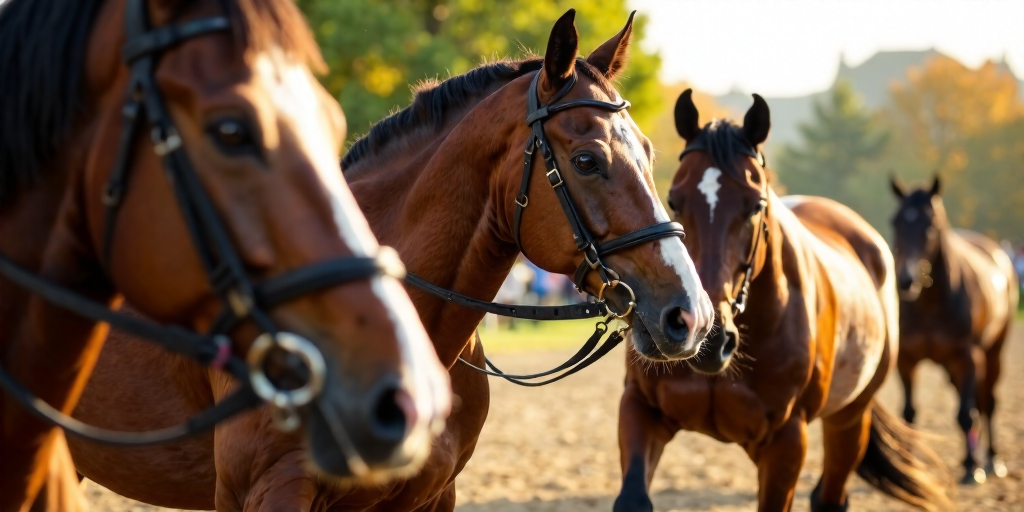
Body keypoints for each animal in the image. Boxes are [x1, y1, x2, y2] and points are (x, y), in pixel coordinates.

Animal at [606, 91, 950, 512]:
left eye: (755, 205)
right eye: (674, 200)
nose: (706, 335)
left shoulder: (786, 442)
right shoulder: (641, 408)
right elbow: (632, 498)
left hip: (851, 417)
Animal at [888, 176, 1015, 483]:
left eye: (930, 225)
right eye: (895, 222)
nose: (906, 279)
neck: (930, 304)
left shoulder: (966, 357)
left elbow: (966, 414)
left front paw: (972, 467)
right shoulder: (906, 360)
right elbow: (909, 412)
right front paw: (908, 465)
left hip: (992, 353)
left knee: (986, 403)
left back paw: (990, 460)